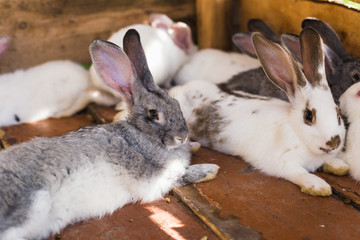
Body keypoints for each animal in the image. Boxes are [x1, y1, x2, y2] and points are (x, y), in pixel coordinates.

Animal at [170, 27, 348, 197]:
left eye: (338, 114)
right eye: (309, 116)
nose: (333, 143)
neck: (297, 133)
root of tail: (177, 90)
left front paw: (340, 165)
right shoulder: (281, 162)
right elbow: (298, 173)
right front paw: (318, 186)